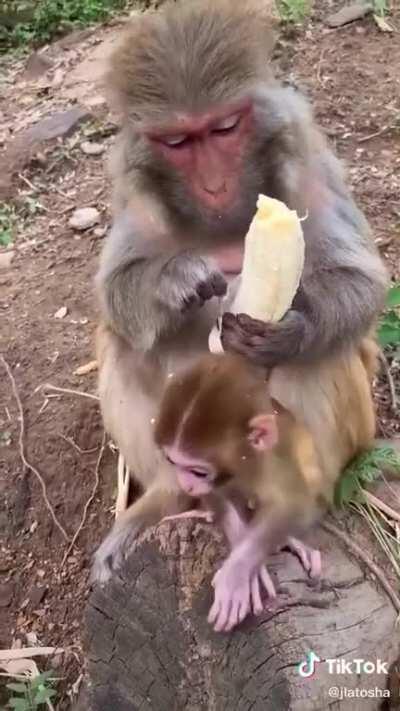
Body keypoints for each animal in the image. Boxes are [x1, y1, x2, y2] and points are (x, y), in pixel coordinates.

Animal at [91, 0, 388, 582]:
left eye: (225, 128)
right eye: (179, 142)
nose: (214, 184)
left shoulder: (307, 162)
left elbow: (362, 282)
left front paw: (293, 328)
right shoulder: (135, 193)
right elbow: (116, 288)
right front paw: (177, 279)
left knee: (320, 360)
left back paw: (298, 504)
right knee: (126, 344)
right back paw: (167, 499)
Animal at [154, 346, 377, 632]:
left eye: (198, 471)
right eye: (173, 463)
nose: (185, 484)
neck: (243, 465)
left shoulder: (275, 462)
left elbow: (293, 504)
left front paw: (238, 571)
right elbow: (218, 498)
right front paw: (247, 565)